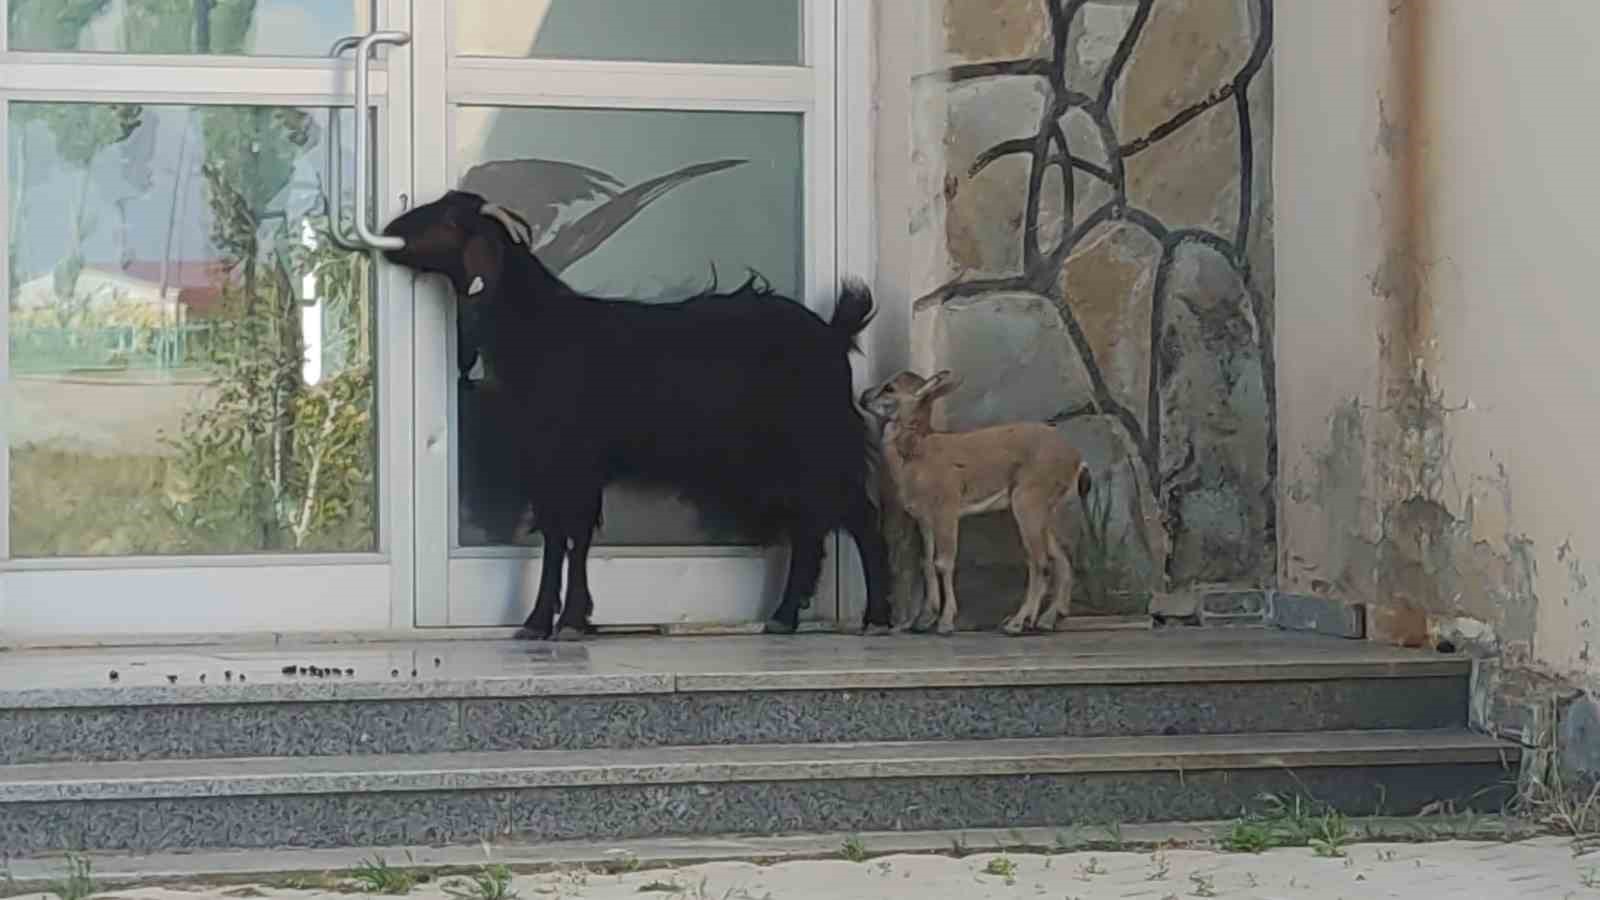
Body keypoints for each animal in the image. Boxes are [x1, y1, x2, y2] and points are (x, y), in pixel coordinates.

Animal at [380, 189, 896, 637]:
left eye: (451, 219)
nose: (389, 233)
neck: (537, 328)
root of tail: (833, 333)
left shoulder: (574, 459)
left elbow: (573, 535)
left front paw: (565, 621)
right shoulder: (550, 464)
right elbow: (558, 537)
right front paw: (546, 621)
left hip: (819, 444)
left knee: (861, 518)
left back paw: (876, 616)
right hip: (781, 462)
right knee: (809, 529)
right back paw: (784, 617)